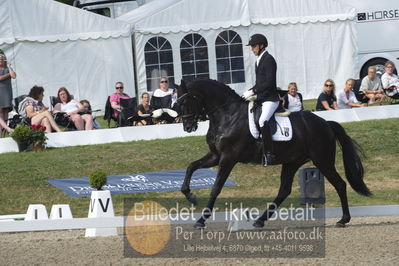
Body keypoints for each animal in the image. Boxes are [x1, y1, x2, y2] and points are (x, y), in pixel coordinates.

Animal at [177, 78, 374, 229]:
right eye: (177, 104)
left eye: (186, 102)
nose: (187, 127)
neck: (227, 115)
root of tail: (325, 123)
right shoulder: (216, 156)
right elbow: (191, 166)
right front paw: (190, 196)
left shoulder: (228, 158)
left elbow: (216, 187)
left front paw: (200, 220)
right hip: (292, 162)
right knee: (284, 190)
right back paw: (259, 220)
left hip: (322, 160)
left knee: (340, 184)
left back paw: (343, 220)